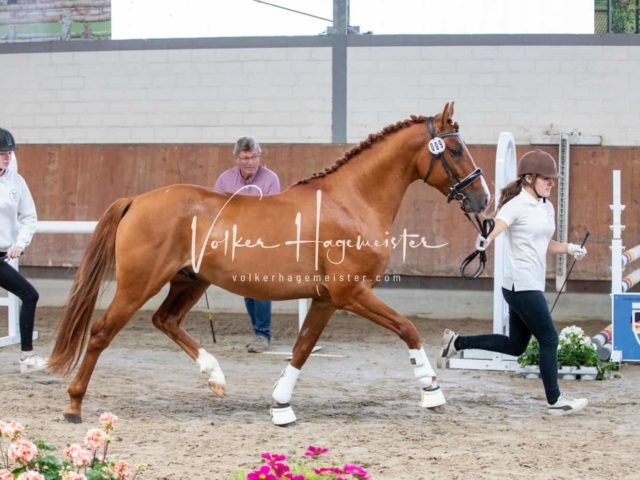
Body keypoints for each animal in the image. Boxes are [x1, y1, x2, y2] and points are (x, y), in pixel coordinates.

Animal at [48, 101, 490, 424]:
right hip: (140, 283)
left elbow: (302, 349)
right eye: (454, 149)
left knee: (165, 320)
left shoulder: (327, 299)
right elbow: (407, 328)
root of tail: (136, 200)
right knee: (102, 332)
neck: (351, 200)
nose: (482, 198)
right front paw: (431, 391)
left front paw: (281, 405)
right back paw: (73, 405)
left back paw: (216, 378)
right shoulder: (352, 293)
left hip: (190, 280)